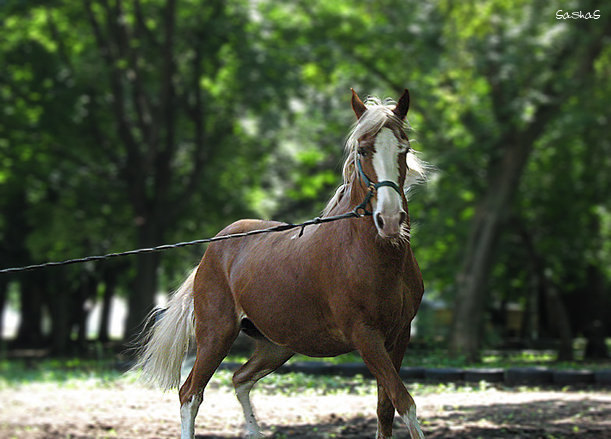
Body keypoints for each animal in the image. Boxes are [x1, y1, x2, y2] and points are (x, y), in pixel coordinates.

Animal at [134, 89, 430, 439]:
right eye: (363, 149)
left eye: (404, 148)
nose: (390, 219)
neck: (371, 255)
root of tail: (210, 253)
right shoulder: (366, 336)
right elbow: (405, 403)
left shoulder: (399, 335)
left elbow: (387, 409)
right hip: (216, 335)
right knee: (190, 393)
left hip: (276, 345)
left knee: (240, 379)